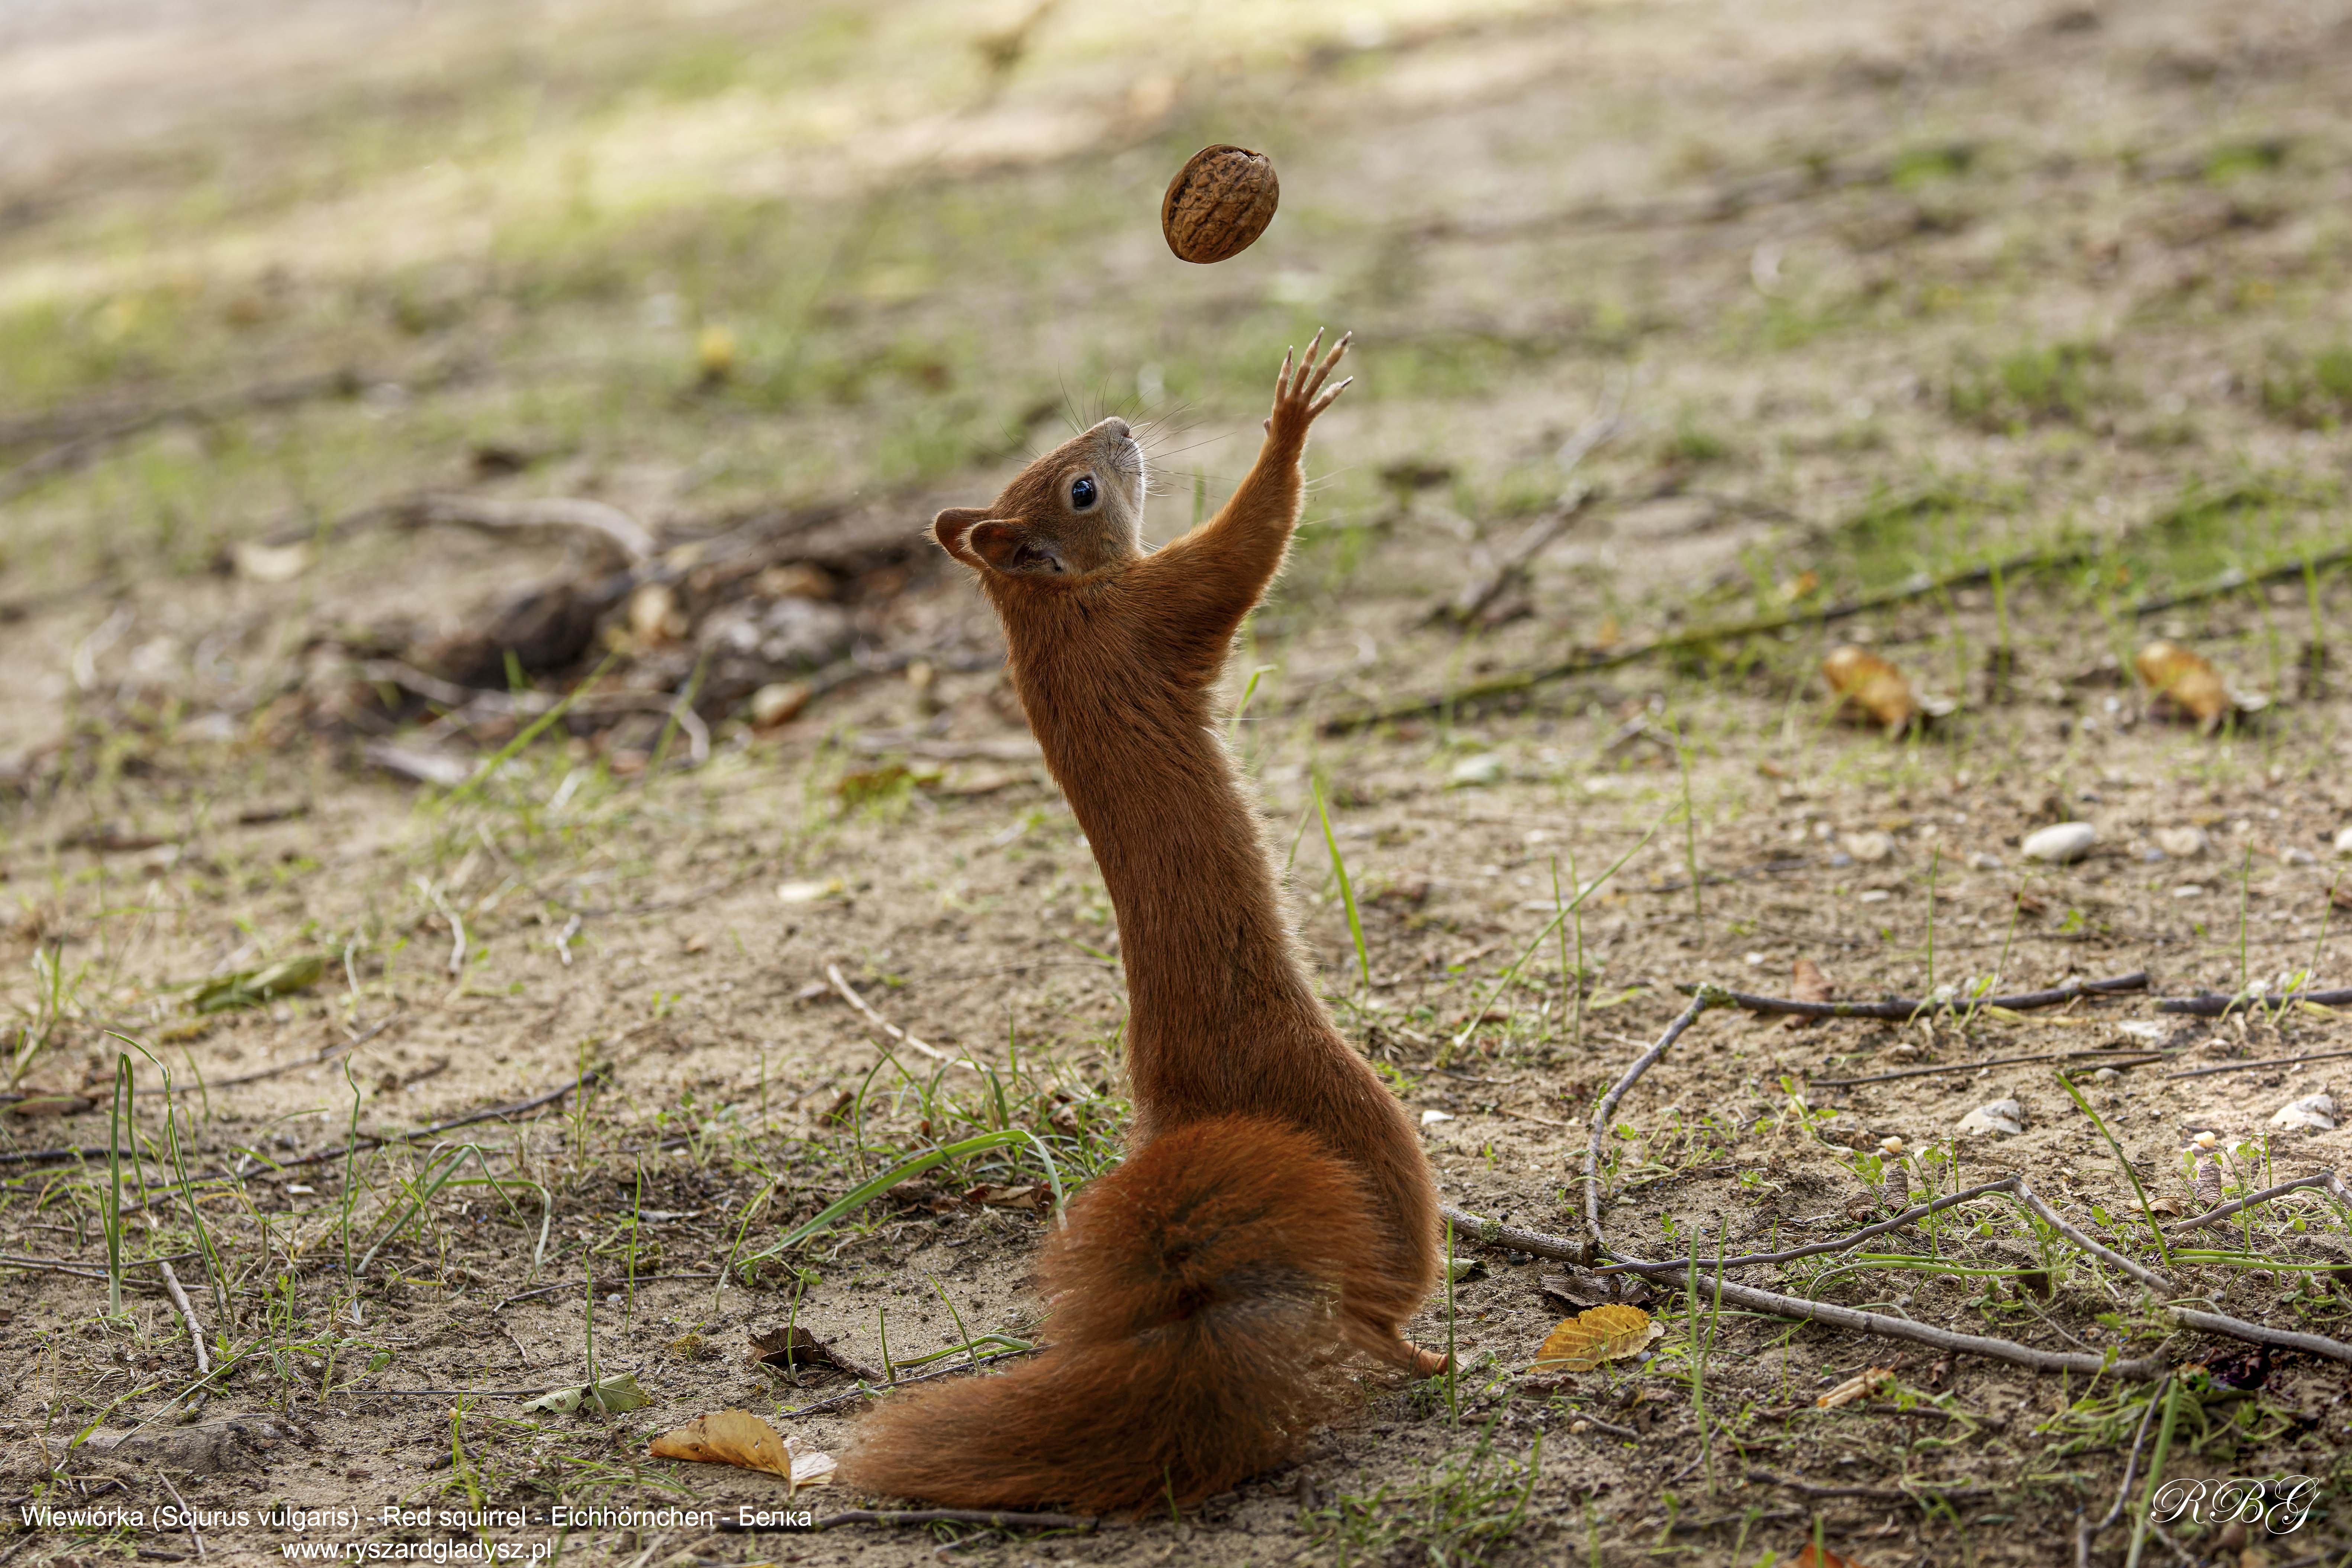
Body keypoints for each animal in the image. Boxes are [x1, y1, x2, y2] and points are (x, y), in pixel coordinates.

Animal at [837, 332, 1443, 1515]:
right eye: (1079, 488)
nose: (1118, 427)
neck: (1049, 611)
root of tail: (1185, 1110)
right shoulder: (1158, 612)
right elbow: (1249, 545)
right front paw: (1289, 420)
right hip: (1360, 1123)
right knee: (1372, 1295)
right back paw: (1416, 1345)